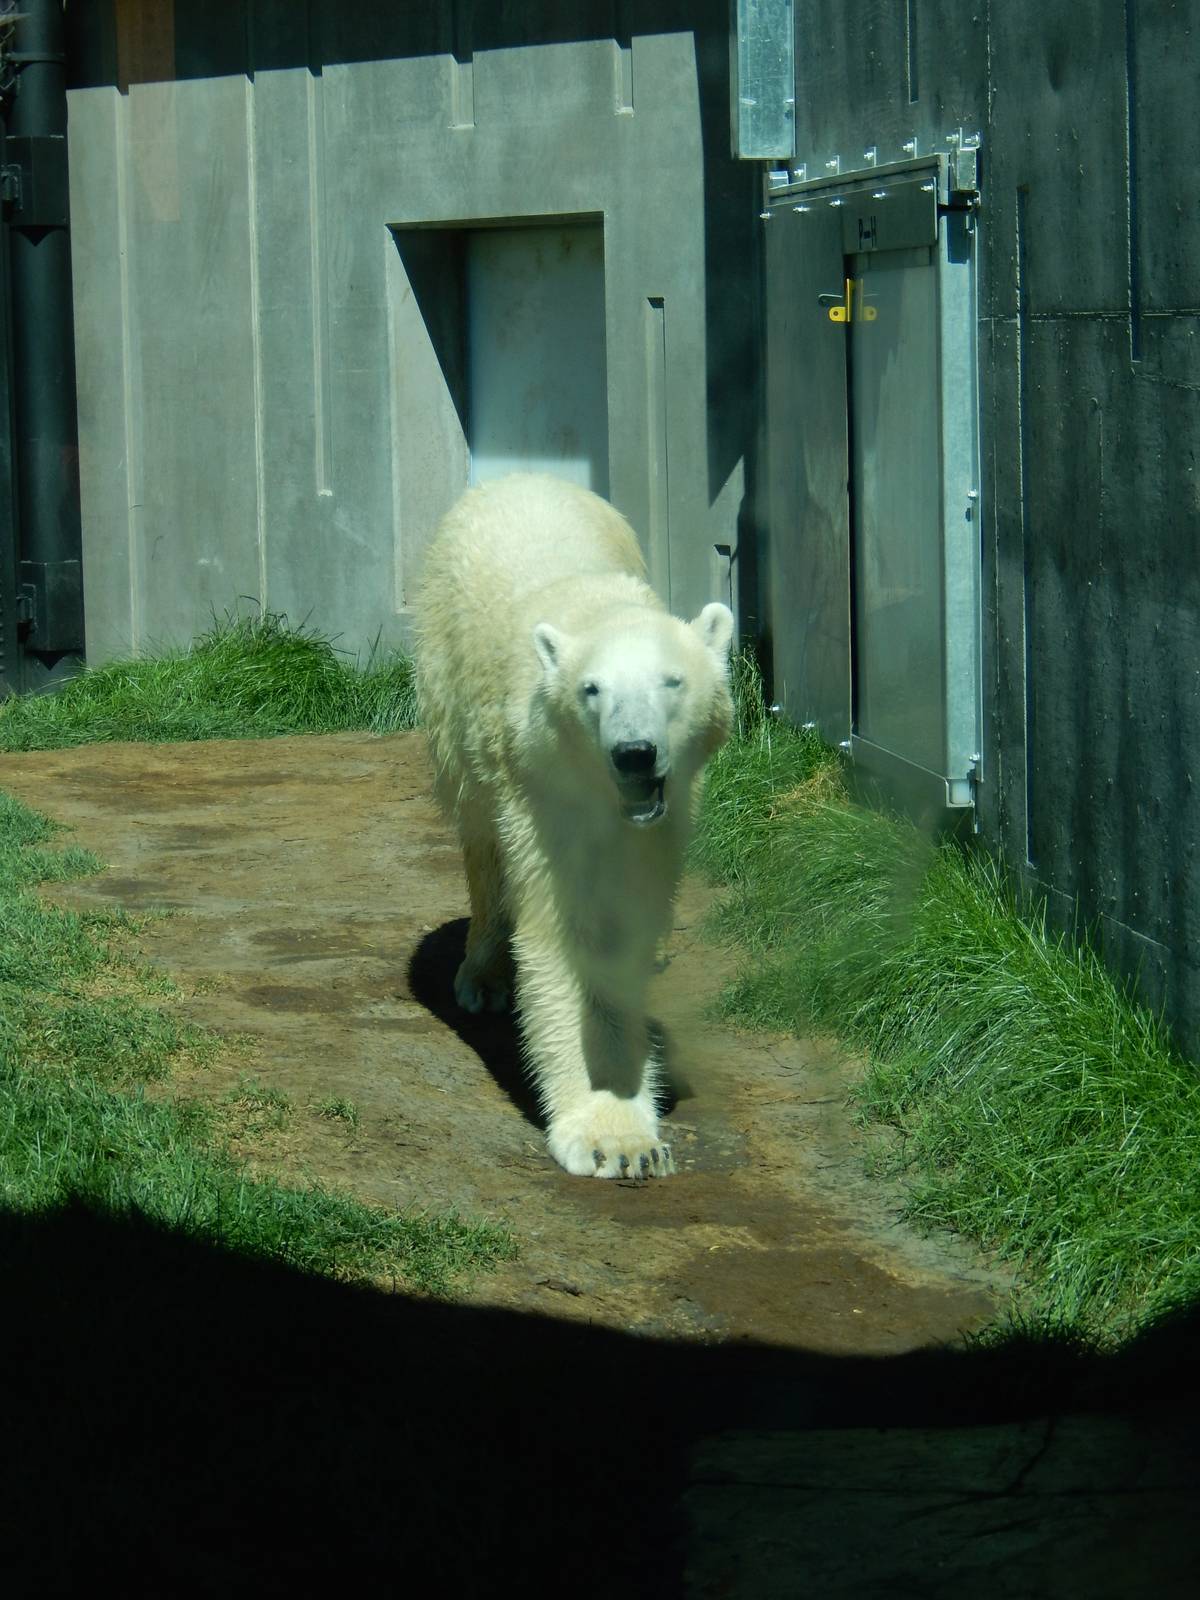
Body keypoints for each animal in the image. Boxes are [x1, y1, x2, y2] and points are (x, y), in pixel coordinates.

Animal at [415, 472, 734, 1178]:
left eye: (672, 681)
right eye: (593, 689)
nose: (635, 752)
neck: (595, 605)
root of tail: (519, 475)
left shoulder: (667, 813)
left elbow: (629, 915)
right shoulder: (541, 789)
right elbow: (570, 930)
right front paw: (612, 1137)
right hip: (447, 688)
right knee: (480, 838)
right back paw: (482, 975)